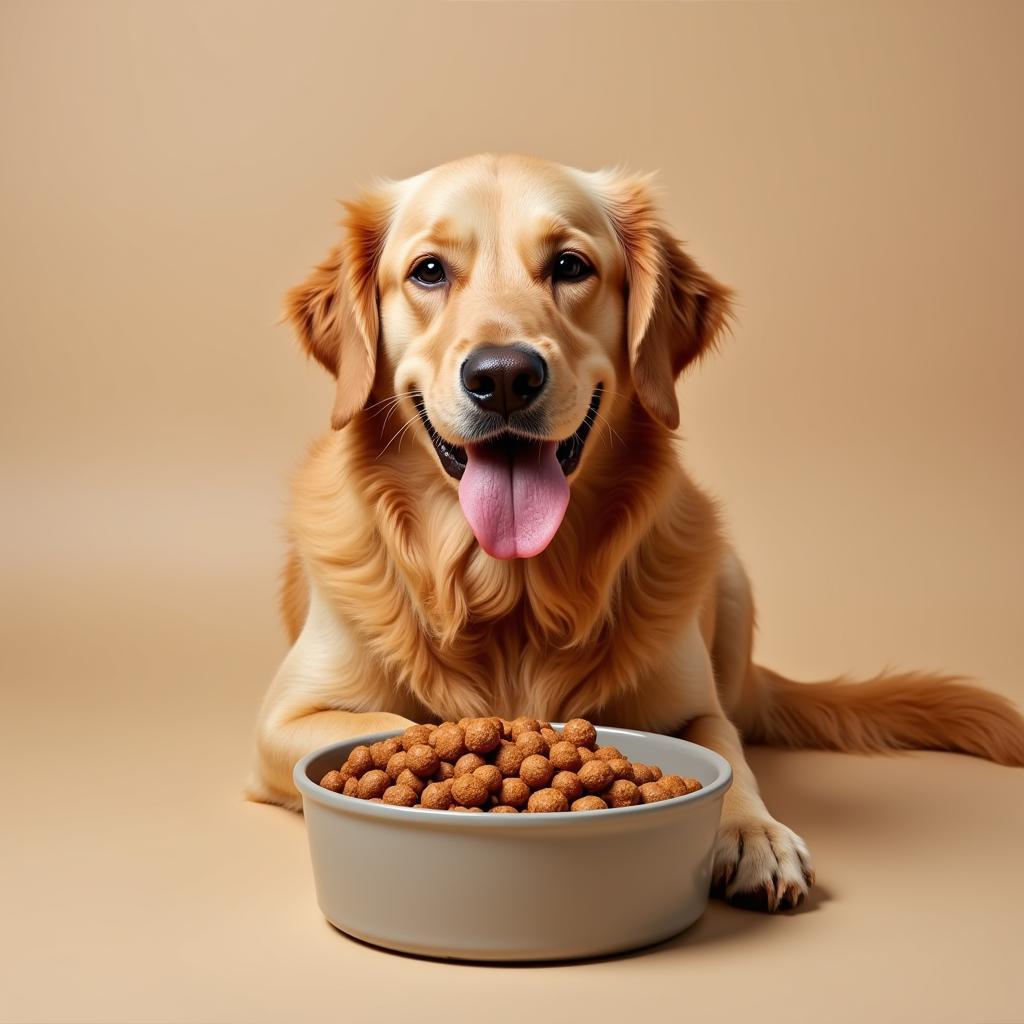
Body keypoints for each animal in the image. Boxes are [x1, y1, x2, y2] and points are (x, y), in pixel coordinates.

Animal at [247, 153, 1024, 913]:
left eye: (569, 266)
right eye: (429, 271)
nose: (504, 376)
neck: (515, 594)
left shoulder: (695, 711)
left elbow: (729, 755)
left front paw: (755, 833)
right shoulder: (284, 721)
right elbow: (403, 727)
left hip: (727, 577)